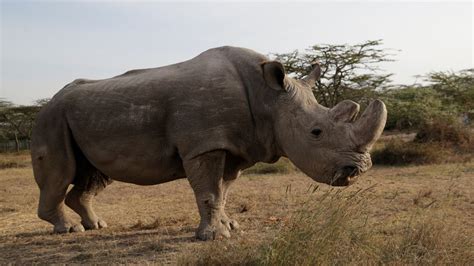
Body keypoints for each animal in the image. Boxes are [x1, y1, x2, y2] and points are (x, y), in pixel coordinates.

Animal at [32, 45, 388, 239]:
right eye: (316, 132)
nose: (357, 170)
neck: (268, 97)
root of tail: (48, 102)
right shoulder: (204, 145)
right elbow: (208, 192)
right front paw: (213, 237)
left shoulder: (235, 146)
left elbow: (223, 191)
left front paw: (231, 226)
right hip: (51, 119)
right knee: (60, 172)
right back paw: (70, 230)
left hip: (81, 118)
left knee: (93, 175)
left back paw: (96, 226)